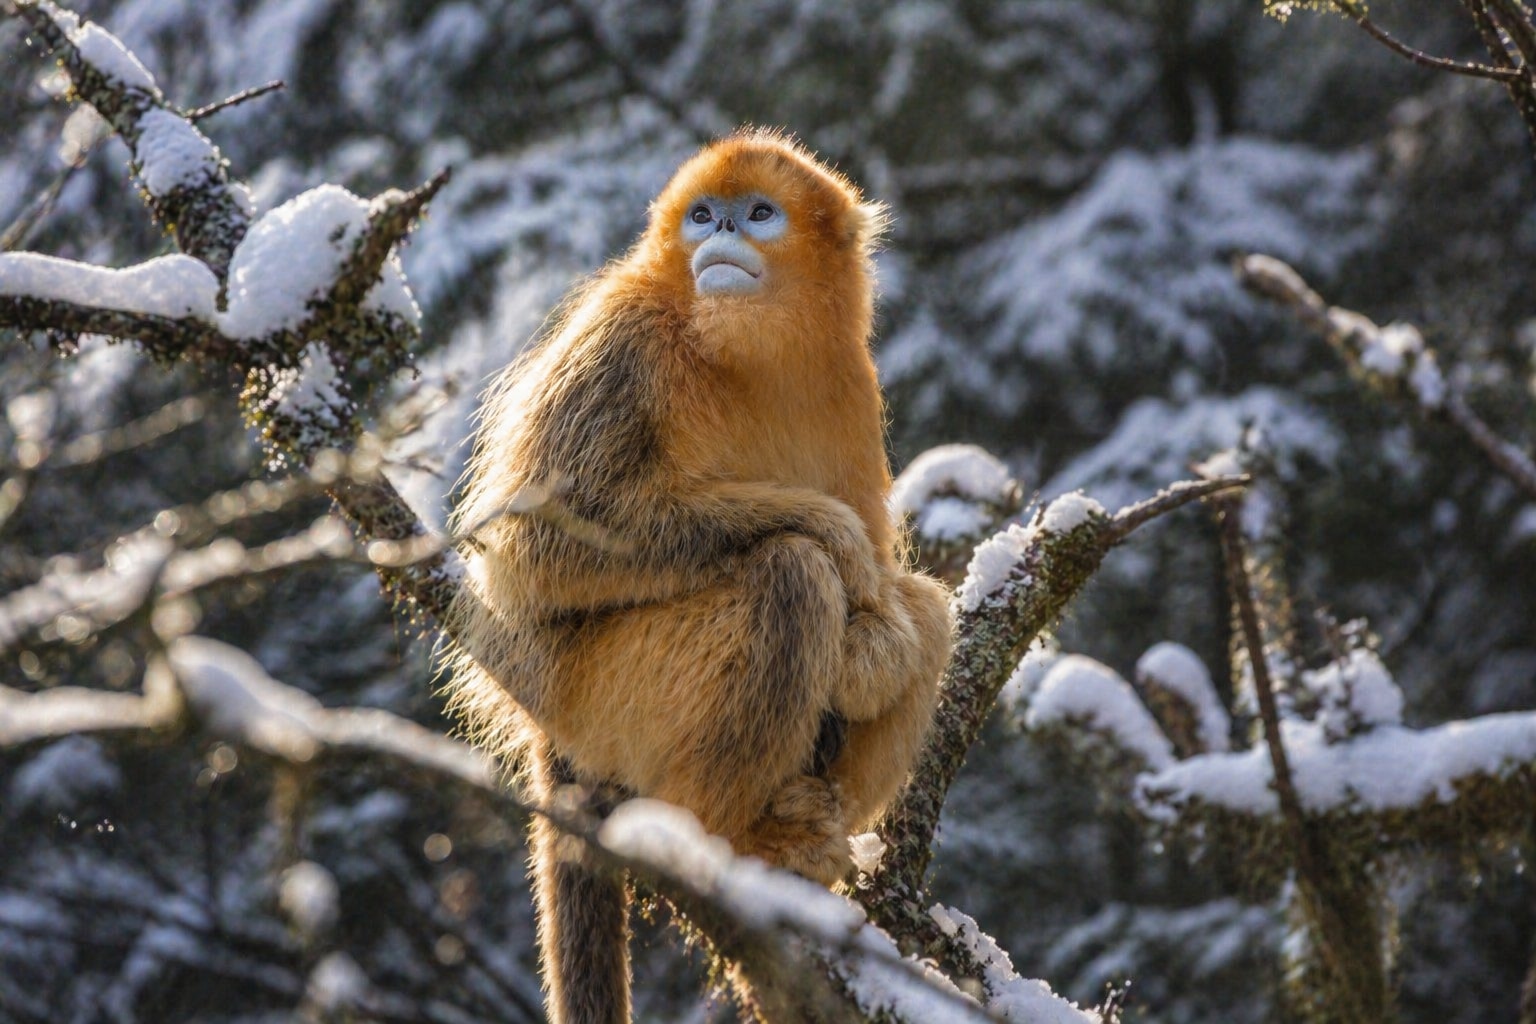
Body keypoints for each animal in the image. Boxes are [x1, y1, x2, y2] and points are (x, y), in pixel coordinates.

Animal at [442, 128, 953, 1024]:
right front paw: (833, 533)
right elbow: (536, 552)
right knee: (789, 573)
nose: (724, 235)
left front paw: (875, 645)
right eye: (704, 215)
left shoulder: (853, 383)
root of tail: (547, 723)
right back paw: (722, 842)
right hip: (603, 695)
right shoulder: (624, 339)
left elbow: (889, 601)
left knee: (928, 609)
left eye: (760, 213)